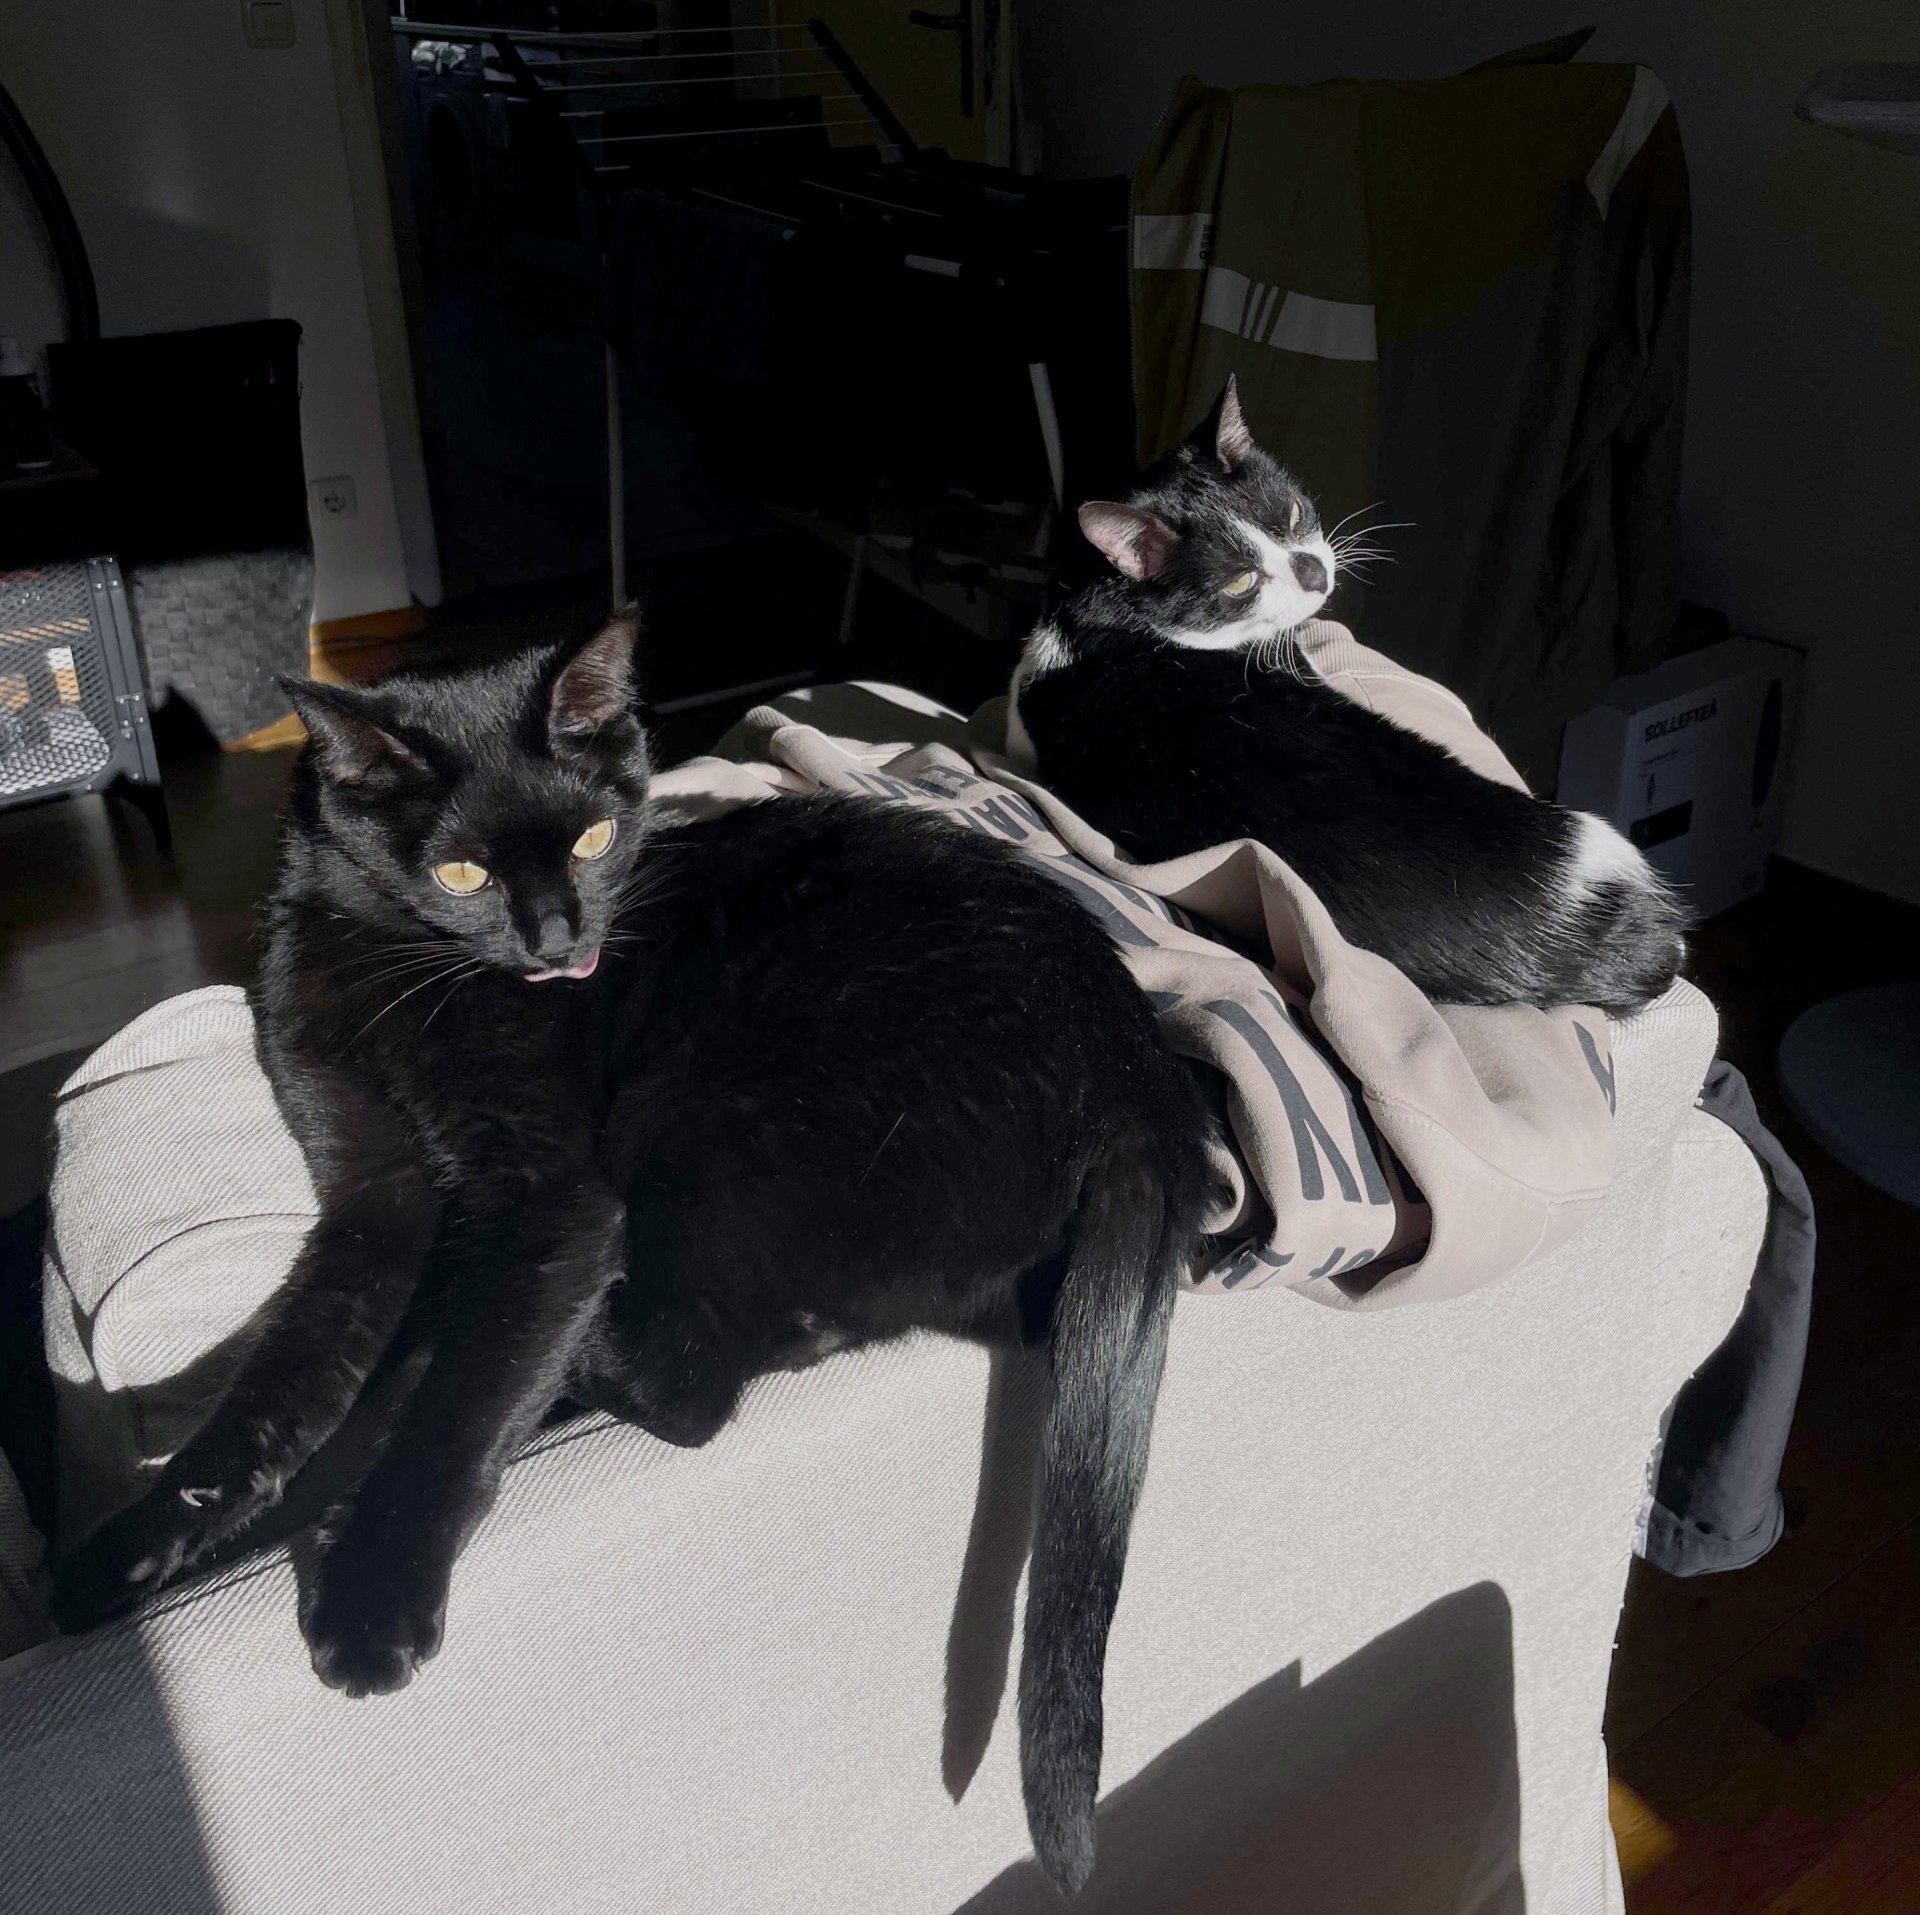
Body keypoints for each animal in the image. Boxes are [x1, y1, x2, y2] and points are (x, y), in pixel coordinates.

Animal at [51, 616, 1213, 1895]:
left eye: (598, 837)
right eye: (463, 873)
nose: (564, 941)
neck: (393, 974)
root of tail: (1142, 1067)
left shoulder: (551, 1201)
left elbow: (468, 1389)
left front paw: (374, 1593)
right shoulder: (368, 1199)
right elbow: (280, 1384)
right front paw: (134, 1546)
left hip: (699, 1109)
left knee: (685, 1383)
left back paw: (506, 1389)